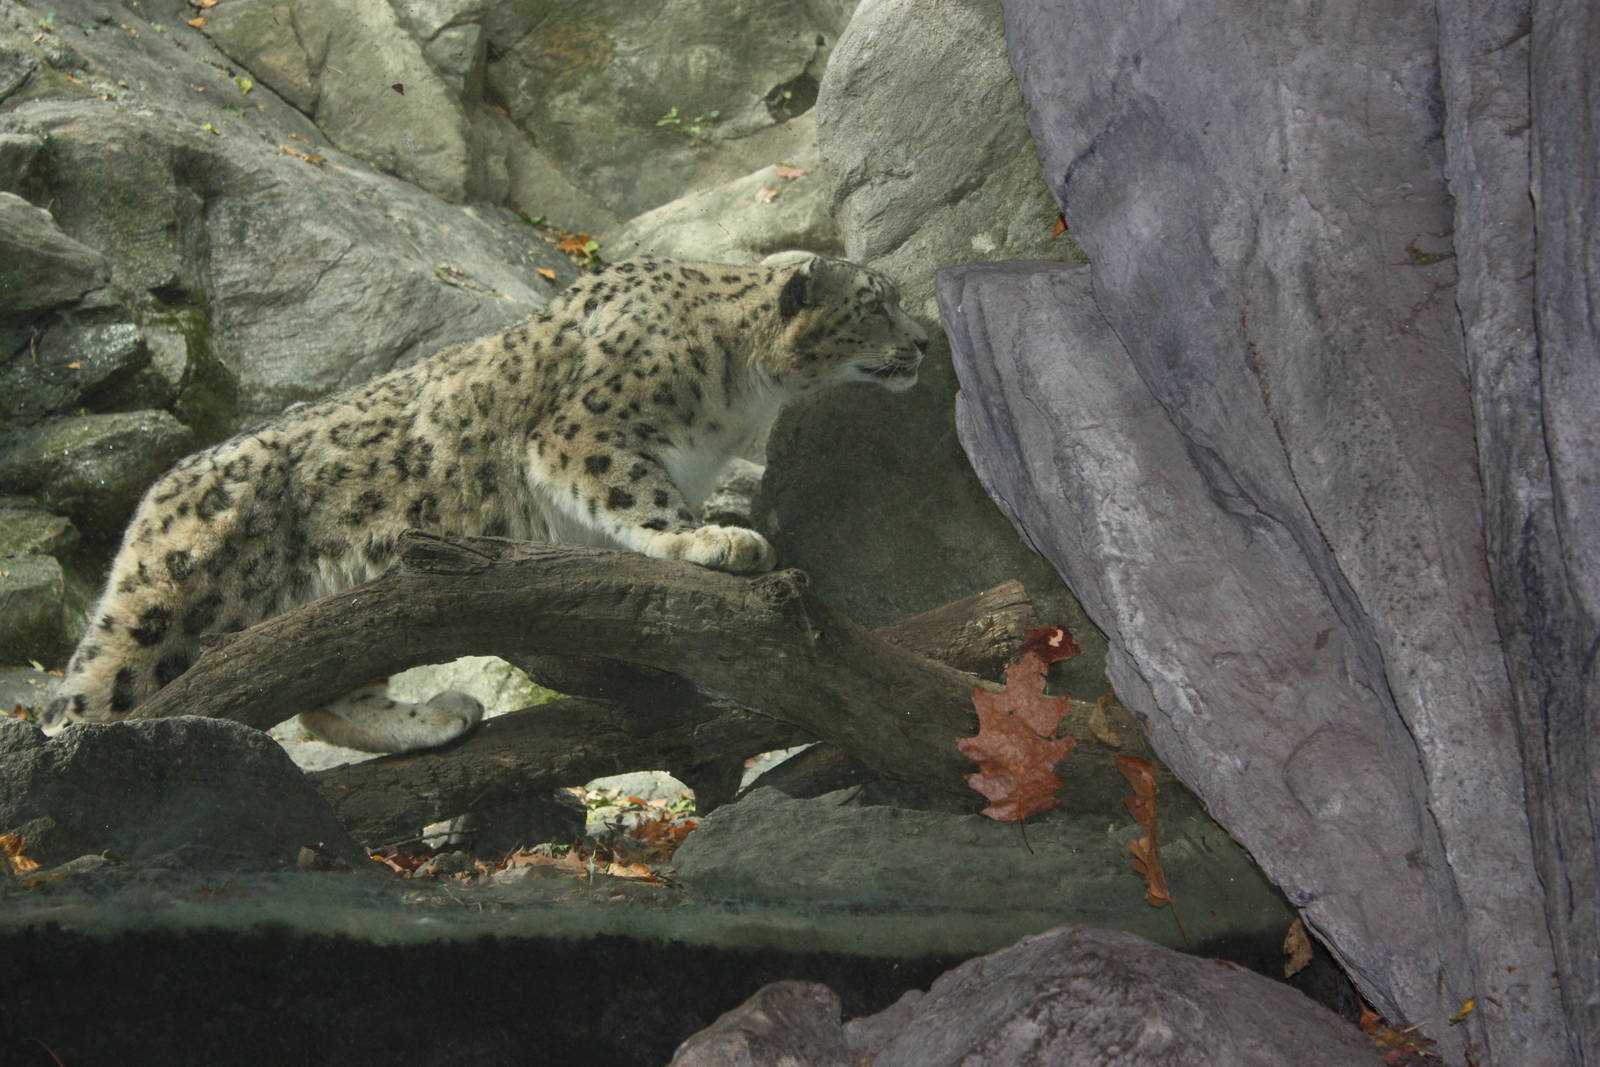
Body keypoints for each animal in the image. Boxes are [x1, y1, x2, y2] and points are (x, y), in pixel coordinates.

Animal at [40, 251, 928, 753]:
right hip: (175, 613)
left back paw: (434, 716)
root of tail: (155, 495)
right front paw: (711, 540)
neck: (742, 396)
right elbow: (639, 495)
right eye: (876, 302)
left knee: (328, 694)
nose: (923, 342)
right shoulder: (588, 430)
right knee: (86, 700)